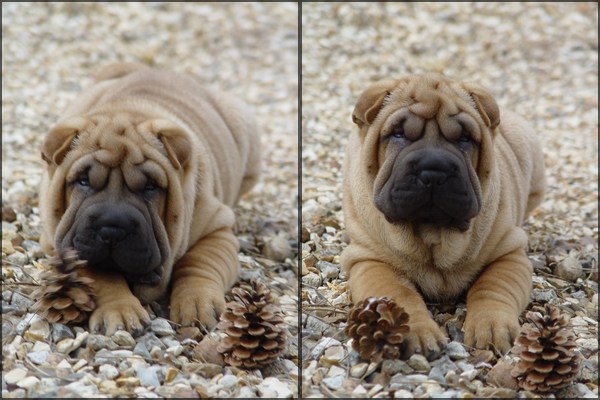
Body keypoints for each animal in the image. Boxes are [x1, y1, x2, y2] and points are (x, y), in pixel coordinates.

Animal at [39, 62, 260, 336]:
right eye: (83, 181)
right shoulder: (66, 244)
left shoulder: (215, 228)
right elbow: (102, 274)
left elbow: (201, 262)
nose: (112, 228)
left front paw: (198, 303)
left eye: (151, 187)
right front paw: (120, 310)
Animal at [342, 73, 544, 358]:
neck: (433, 234)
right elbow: (398, 293)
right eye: (398, 134)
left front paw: (492, 326)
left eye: (465, 138)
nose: (433, 169)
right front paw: (413, 331)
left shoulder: (508, 252)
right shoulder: (370, 259)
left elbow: (493, 287)